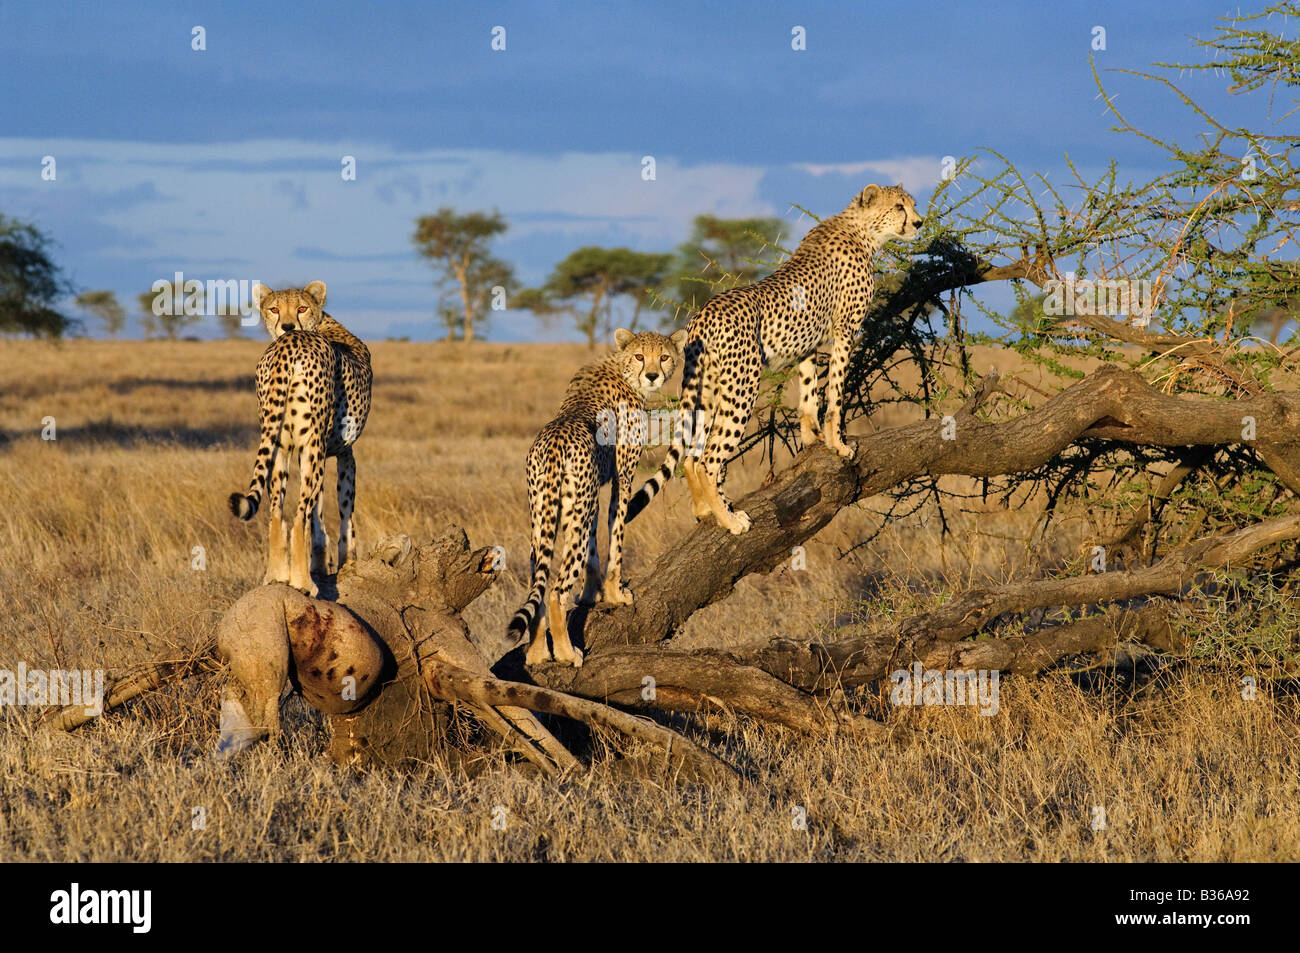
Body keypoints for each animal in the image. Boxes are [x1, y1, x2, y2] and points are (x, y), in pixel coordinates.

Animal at [228, 281, 372, 597]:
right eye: (274, 309)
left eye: (302, 308)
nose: (287, 326)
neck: (321, 323)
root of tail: (288, 344)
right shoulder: (345, 453)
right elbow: (344, 512)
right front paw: (347, 563)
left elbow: (318, 519)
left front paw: (319, 563)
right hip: (311, 445)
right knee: (298, 515)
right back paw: (304, 584)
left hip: (278, 444)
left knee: (277, 512)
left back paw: (277, 576)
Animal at [509, 327, 687, 668]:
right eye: (640, 356)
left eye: (664, 356)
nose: (653, 375)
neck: (621, 368)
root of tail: (554, 441)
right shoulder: (623, 477)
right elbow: (616, 536)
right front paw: (615, 593)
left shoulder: (591, 493)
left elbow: (594, 549)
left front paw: (591, 594)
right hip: (573, 513)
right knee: (555, 591)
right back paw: (567, 653)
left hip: (543, 512)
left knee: (538, 583)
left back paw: (537, 654)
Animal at [626, 183, 923, 534]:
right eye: (899, 207)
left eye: (911, 205)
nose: (919, 222)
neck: (862, 230)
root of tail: (703, 313)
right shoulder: (845, 331)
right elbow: (835, 393)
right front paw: (838, 444)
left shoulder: (808, 344)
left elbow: (809, 394)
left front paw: (812, 439)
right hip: (742, 386)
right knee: (710, 458)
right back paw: (730, 520)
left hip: (709, 388)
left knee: (692, 457)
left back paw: (705, 510)